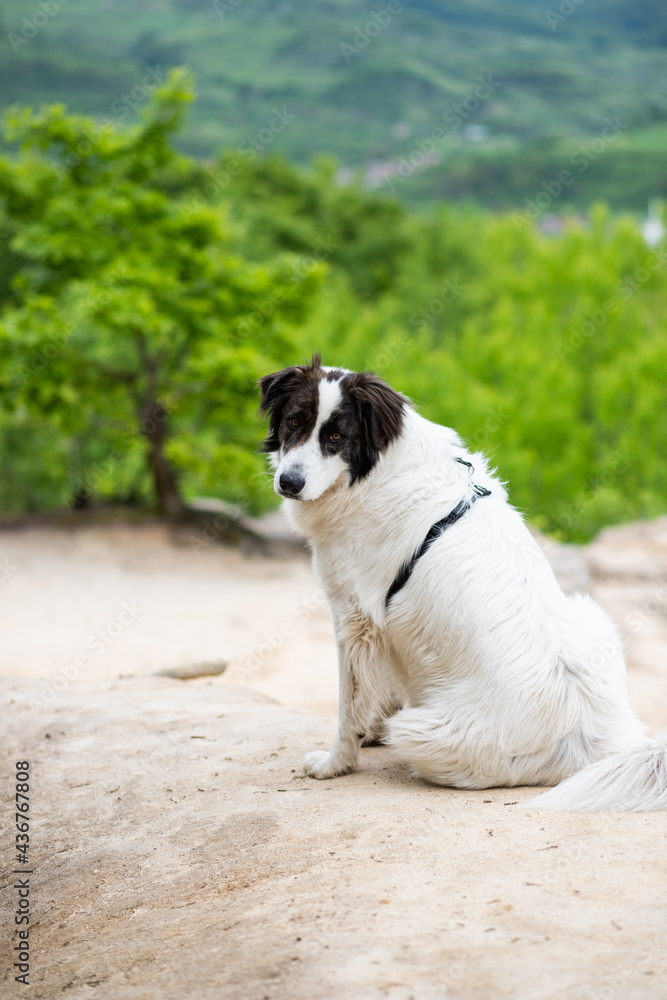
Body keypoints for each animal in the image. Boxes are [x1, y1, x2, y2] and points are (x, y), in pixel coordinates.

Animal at [258, 356, 664, 808]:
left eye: (335, 436)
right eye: (294, 421)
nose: (289, 483)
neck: (374, 473)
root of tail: (597, 746)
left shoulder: (354, 618)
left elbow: (351, 704)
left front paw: (335, 763)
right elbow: (379, 691)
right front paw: (370, 736)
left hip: (418, 730)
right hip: (592, 618)